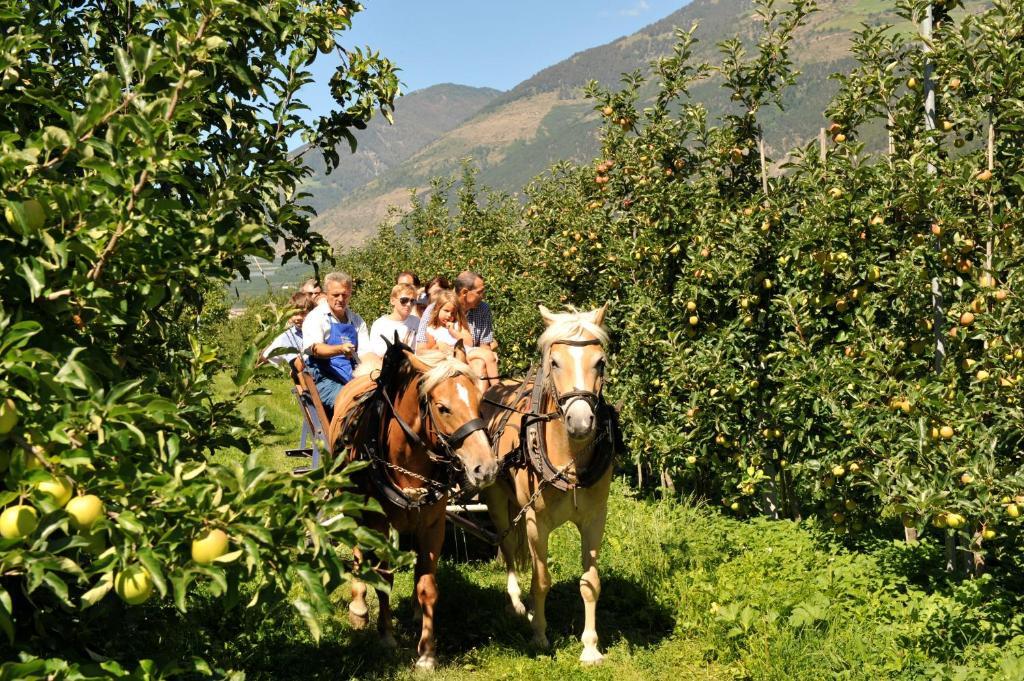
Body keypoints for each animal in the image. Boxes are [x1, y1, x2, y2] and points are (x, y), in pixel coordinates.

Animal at [329, 339, 497, 667]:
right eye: (443, 408)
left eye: (479, 401)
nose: (486, 468)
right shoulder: (378, 523)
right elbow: (383, 578)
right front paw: (386, 636)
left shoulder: (432, 523)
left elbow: (427, 585)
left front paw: (427, 652)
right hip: (353, 504)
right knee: (358, 551)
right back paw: (359, 605)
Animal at [479, 303, 614, 663]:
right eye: (554, 362)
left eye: (600, 362)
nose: (580, 422)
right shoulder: (535, 520)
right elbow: (541, 580)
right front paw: (539, 633)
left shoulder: (595, 518)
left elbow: (591, 582)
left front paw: (590, 647)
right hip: (496, 500)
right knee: (508, 548)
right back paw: (516, 604)